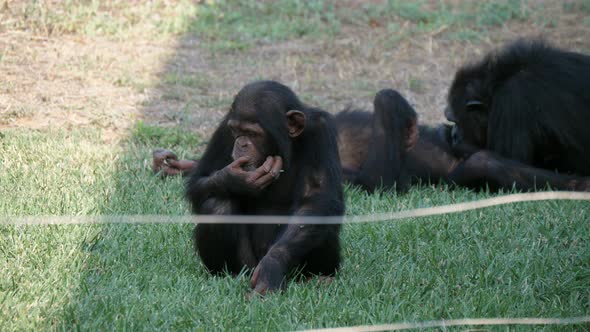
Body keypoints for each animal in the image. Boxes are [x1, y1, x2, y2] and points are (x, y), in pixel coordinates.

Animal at [184, 80, 342, 296]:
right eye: (236, 131)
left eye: (252, 133)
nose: (241, 143)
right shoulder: (224, 130)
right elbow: (199, 179)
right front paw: (236, 180)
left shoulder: (320, 132)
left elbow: (316, 198)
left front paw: (272, 266)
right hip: (248, 266)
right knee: (216, 206)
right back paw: (227, 274)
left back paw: (319, 278)